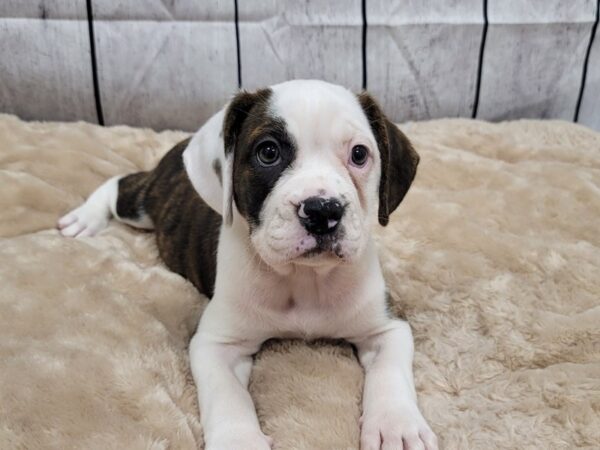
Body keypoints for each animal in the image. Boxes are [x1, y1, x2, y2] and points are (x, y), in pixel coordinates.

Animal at [58, 81, 438, 450]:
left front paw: (396, 426)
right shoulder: (216, 344)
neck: (304, 278)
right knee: (120, 185)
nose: (322, 210)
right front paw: (238, 440)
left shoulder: (387, 328)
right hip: (143, 205)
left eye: (359, 154)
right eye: (268, 152)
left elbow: (390, 373)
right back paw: (85, 217)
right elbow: (228, 396)